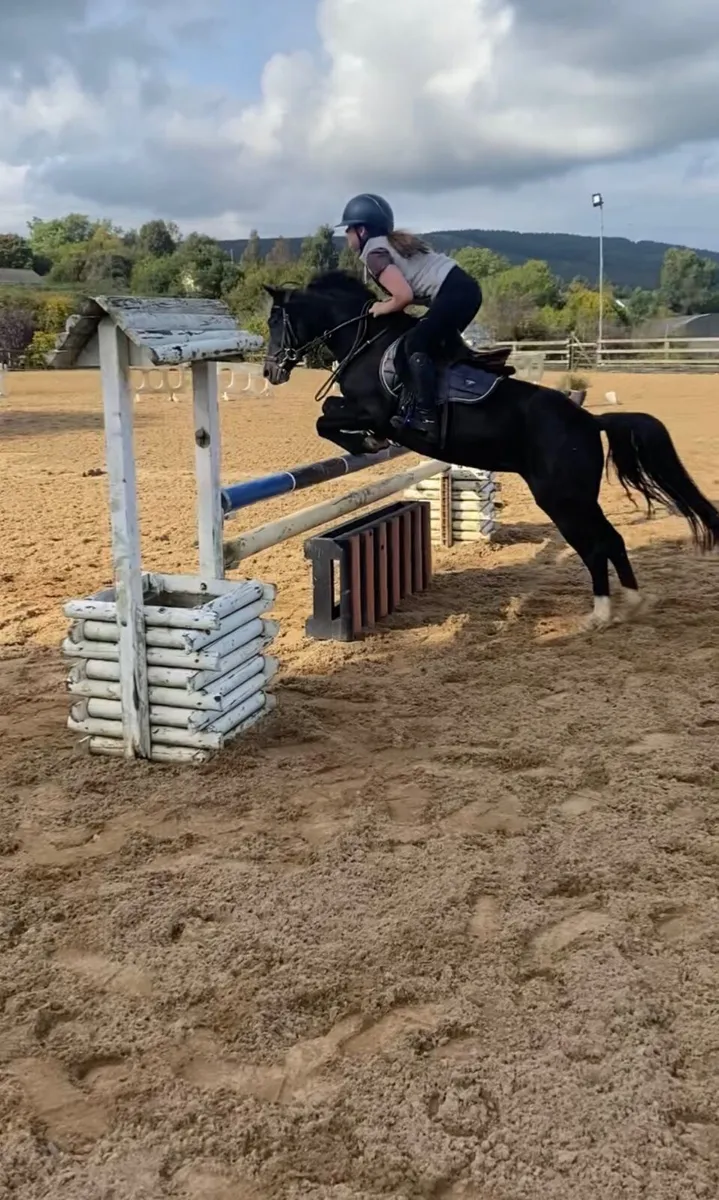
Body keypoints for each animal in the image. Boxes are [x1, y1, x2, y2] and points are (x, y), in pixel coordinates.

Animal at [262, 270, 719, 630]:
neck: (368, 342)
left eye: (274, 321)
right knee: (613, 541)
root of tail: (591, 422)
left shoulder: (373, 410)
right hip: (576, 498)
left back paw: (600, 615)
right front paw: (365, 441)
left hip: (562, 498)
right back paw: (633, 603)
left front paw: (365, 441)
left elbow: (326, 416)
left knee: (597, 546)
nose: (270, 371)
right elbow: (328, 413)